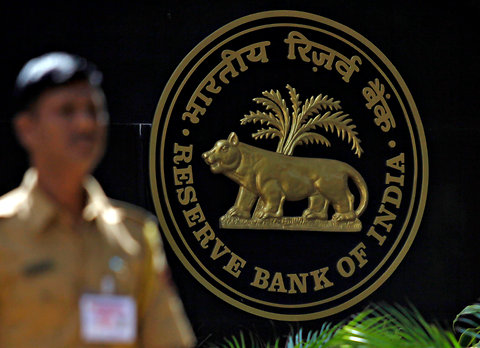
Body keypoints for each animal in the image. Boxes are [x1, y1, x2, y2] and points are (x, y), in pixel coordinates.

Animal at [202, 132, 368, 222]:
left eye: (224, 148)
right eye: (214, 146)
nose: (205, 155)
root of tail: (343, 165)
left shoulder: (270, 186)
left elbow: (272, 202)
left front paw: (265, 214)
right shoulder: (248, 187)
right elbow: (244, 200)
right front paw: (236, 213)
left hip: (333, 188)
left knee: (347, 198)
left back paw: (343, 217)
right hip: (318, 192)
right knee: (321, 203)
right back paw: (311, 215)